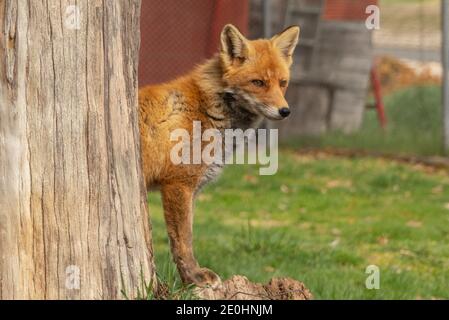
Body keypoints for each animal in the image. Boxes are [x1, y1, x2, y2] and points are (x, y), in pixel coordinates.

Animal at [138, 23, 300, 286]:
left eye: (283, 82)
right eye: (258, 82)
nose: (285, 111)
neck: (205, 109)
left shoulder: (191, 189)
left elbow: (185, 237)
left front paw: (188, 278)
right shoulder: (178, 184)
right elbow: (183, 240)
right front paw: (193, 277)